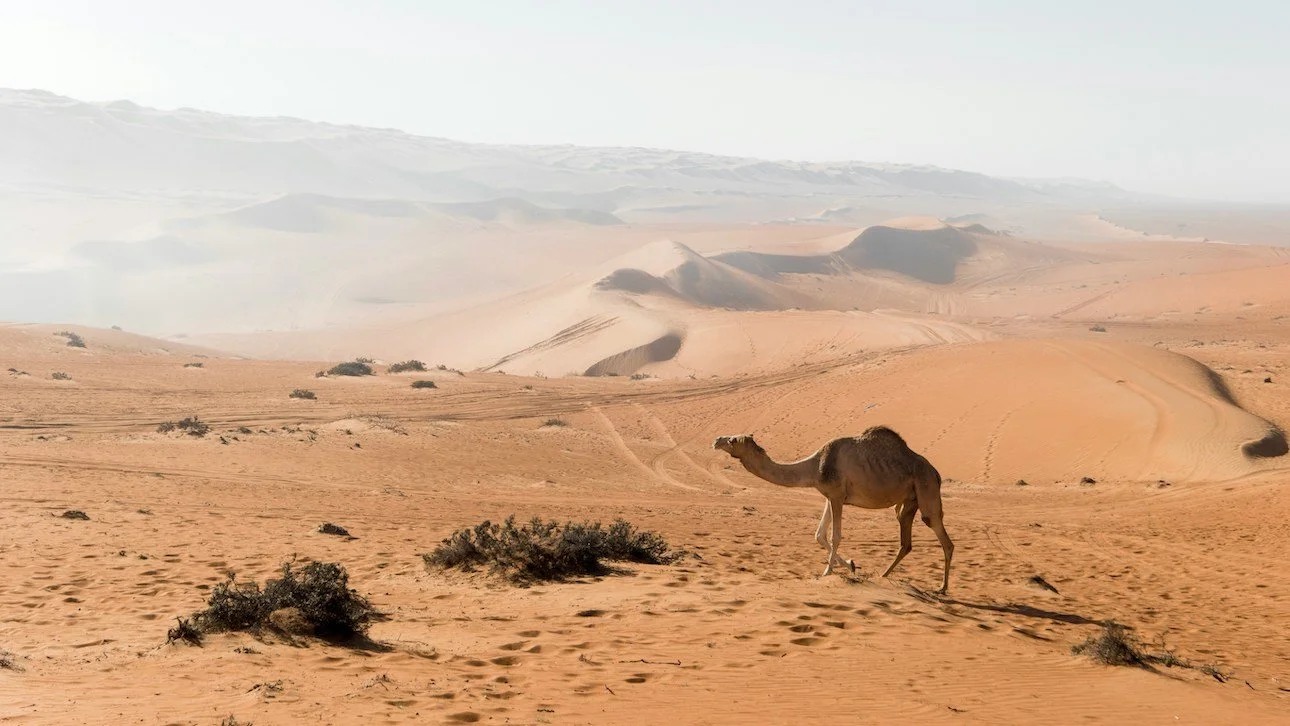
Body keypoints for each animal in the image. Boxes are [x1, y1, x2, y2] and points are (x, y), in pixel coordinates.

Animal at [713, 426, 954, 593]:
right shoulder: (830, 497)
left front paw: (828, 571)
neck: (815, 466)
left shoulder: (837, 496)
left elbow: (835, 535)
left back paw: (942, 588)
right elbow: (819, 534)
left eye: (732, 439)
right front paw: (851, 565)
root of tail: (937, 473)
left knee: (942, 535)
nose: (716, 440)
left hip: (926, 488)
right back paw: (884, 575)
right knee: (906, 540)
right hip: (909, 501)